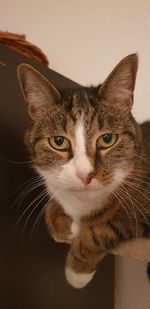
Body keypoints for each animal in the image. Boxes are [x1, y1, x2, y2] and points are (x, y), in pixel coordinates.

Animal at [17, 54, 150, 288]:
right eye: (58, 141)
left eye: (107, 139)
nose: (85, 174)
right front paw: (62, 225)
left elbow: (105, 229)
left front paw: (76, 271)